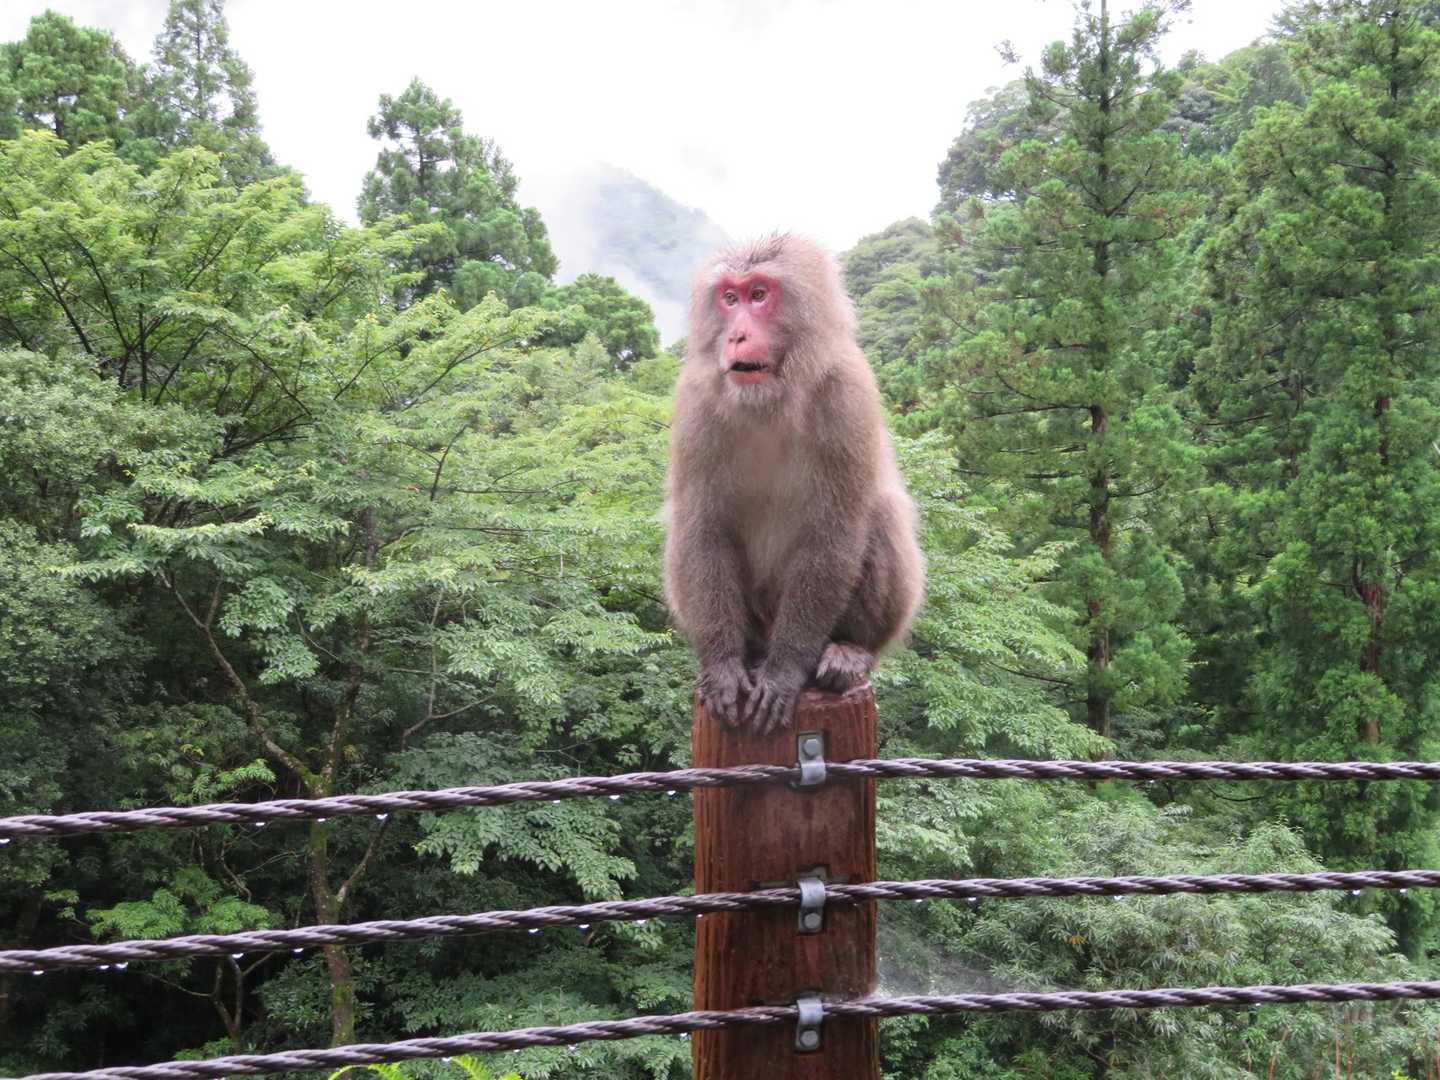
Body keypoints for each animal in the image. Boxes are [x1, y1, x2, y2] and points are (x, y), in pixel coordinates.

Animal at [662, 234, 924, 733]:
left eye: (759, 294)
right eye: (730, 299)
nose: (736, 335)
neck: (771, 398)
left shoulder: (847, 394)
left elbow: (833, 532)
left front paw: (784, 672)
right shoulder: (695, 403)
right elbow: (703, 526)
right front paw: (723, 666)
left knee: (878, 514)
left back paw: (850, 652)